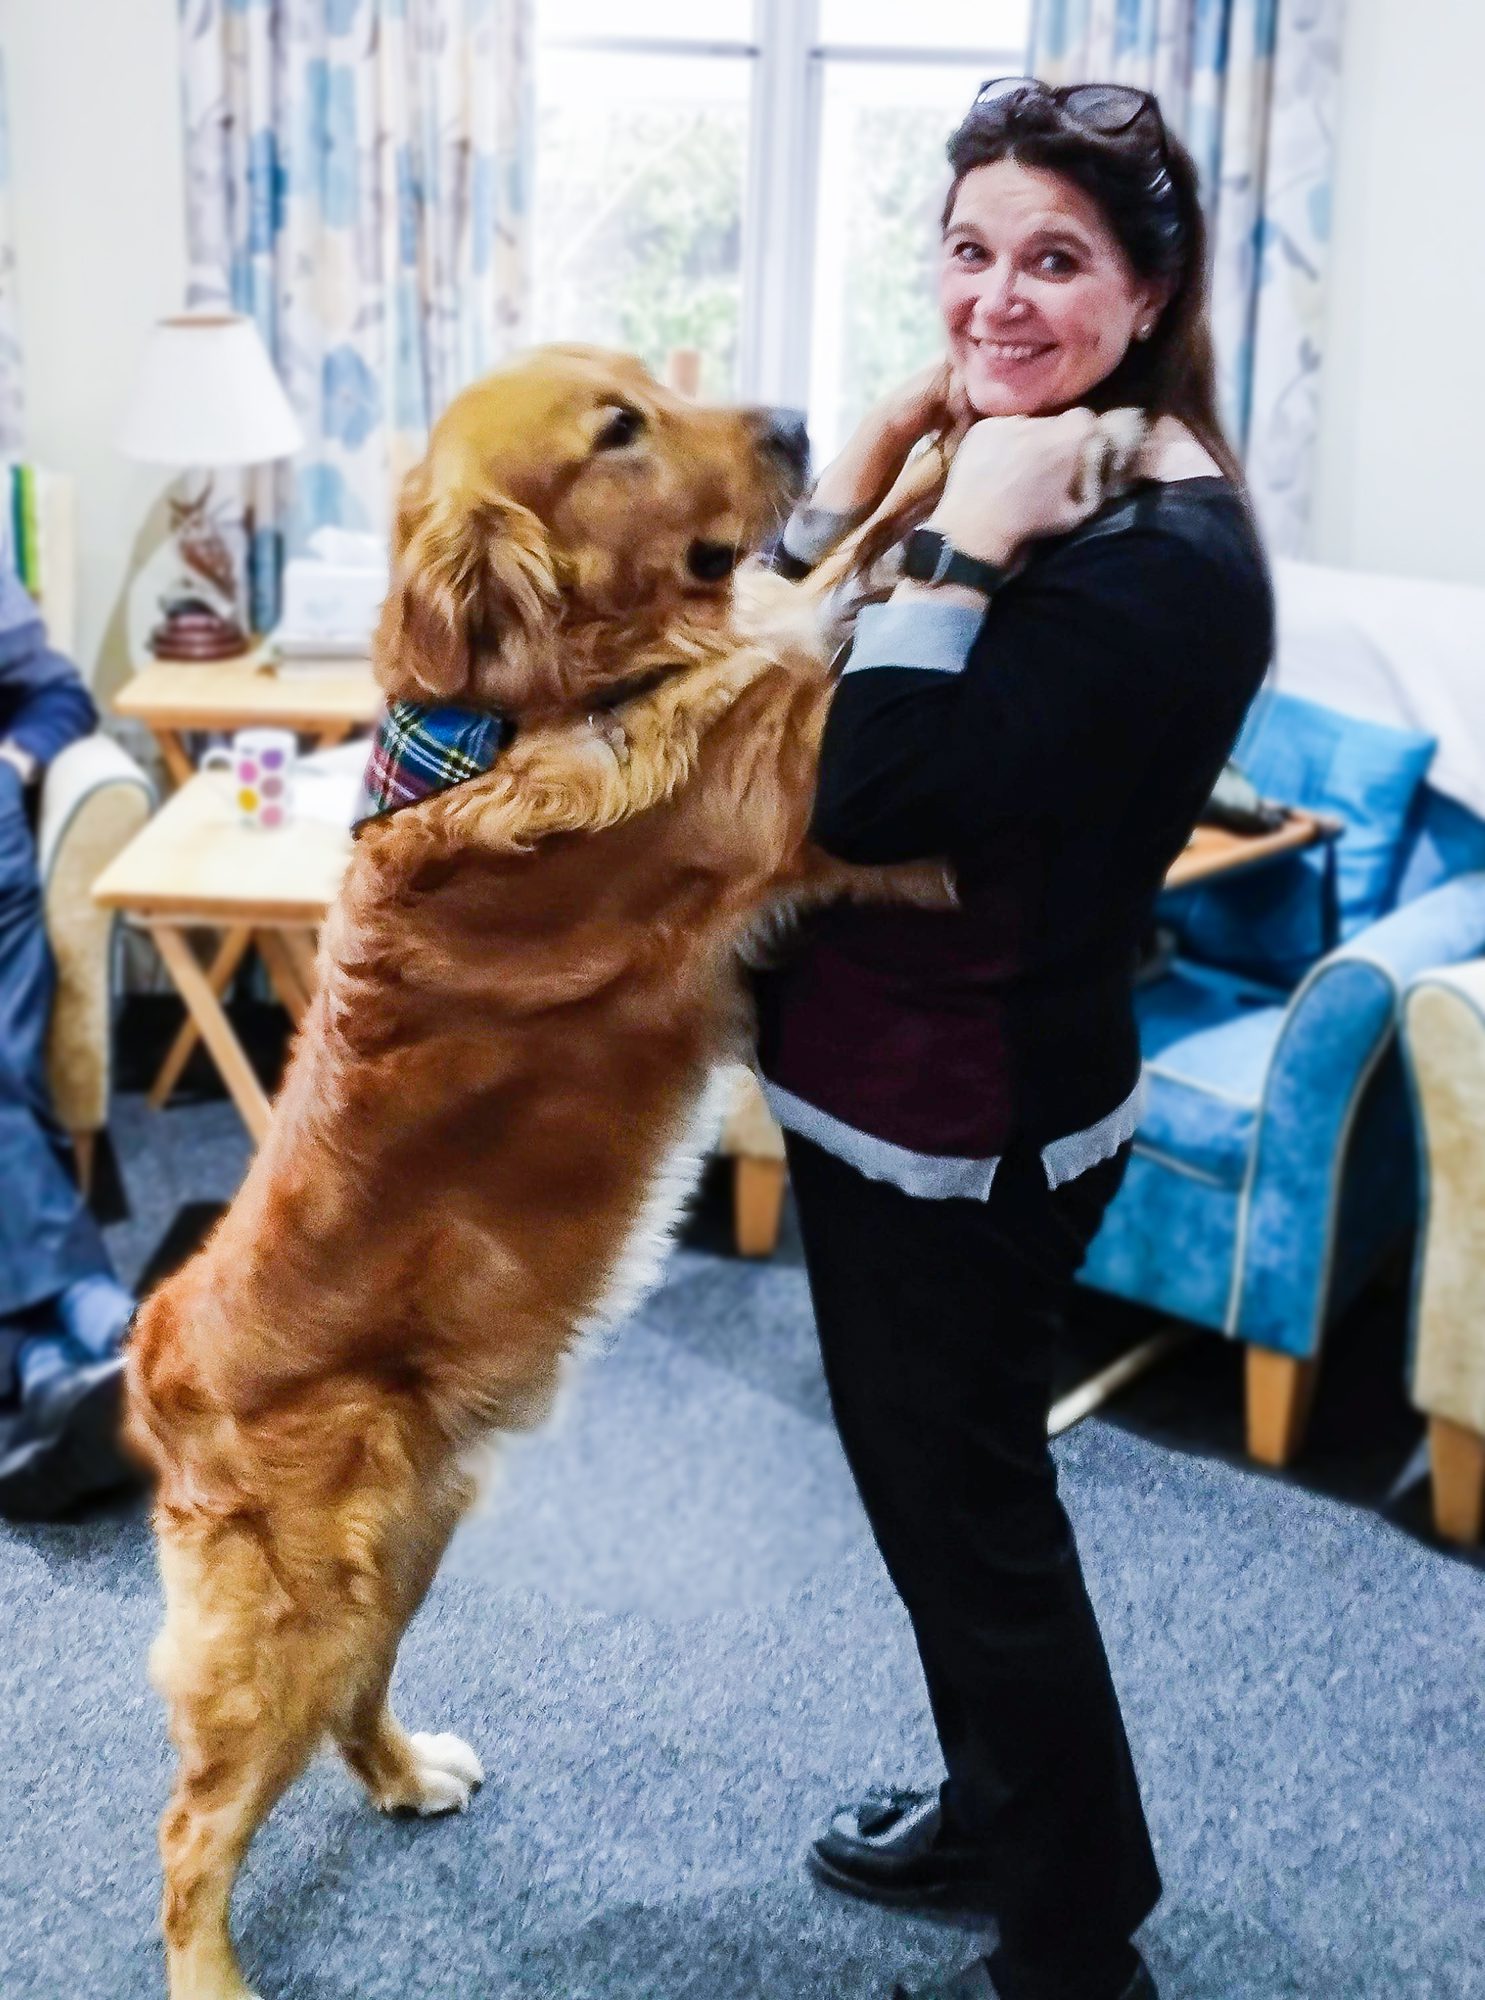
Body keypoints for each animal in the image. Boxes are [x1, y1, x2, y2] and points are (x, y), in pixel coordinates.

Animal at [122, 344, 960, 2000]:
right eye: (618, 431)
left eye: (652, 383)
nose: (794, 422)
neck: (495, 717)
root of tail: (157, 1348)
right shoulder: (778, 790)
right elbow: (821, 618)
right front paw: (1006, 446)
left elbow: (818, 581)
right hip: (299, 1611)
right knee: (193, 1832)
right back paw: (214, 1971)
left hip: (407, 1549)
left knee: (347, 1714)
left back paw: (404, 1773)